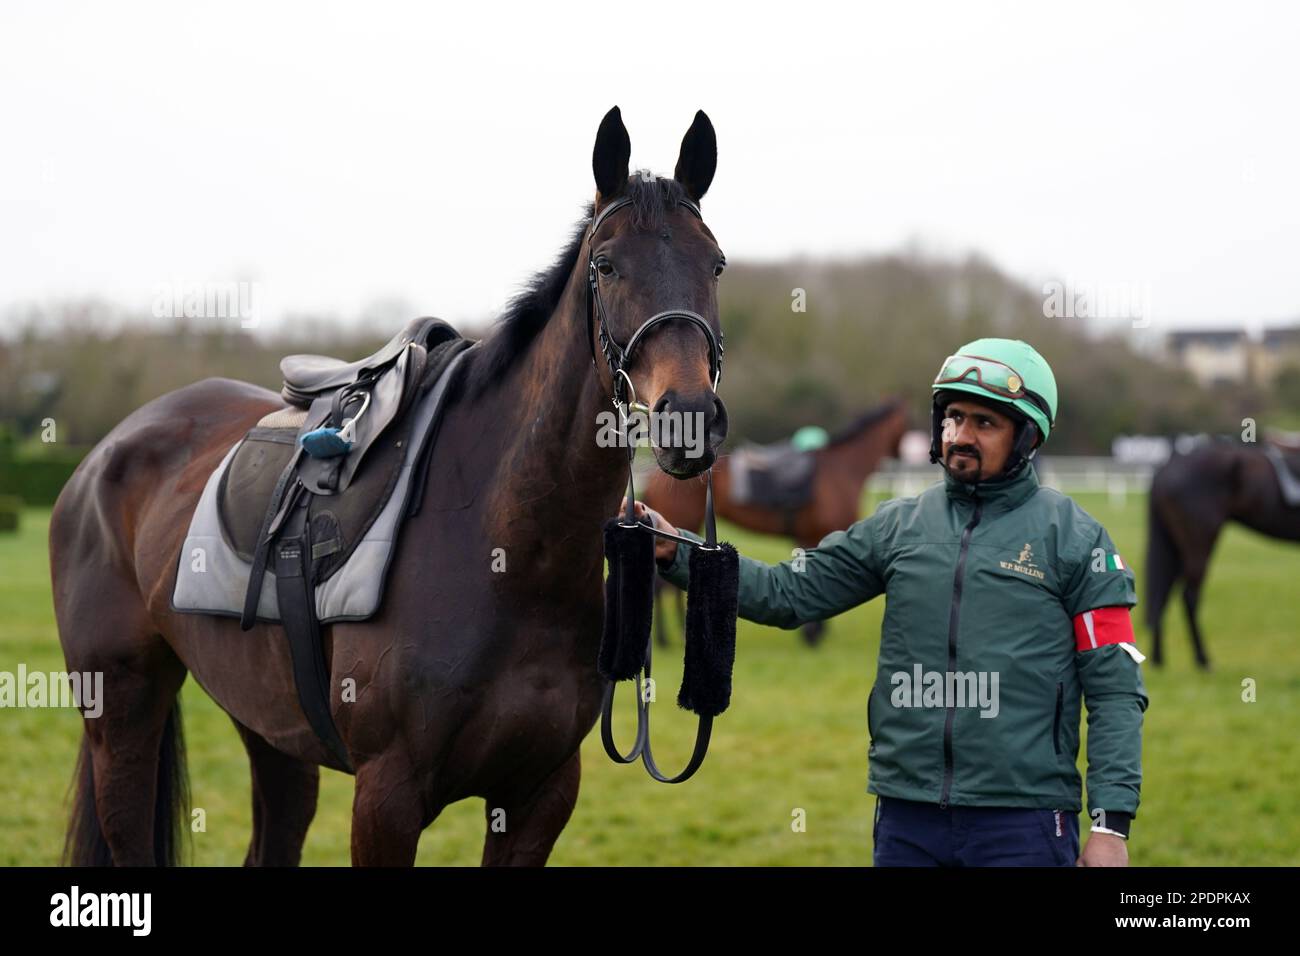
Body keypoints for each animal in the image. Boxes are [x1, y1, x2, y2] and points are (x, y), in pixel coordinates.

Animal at [50, 106, 733, 868]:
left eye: (715, 264)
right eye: (607, 265)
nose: (688, 418)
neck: (510, 551)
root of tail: (106, 454)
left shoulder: (540, 794)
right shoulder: (388, 796)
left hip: (268, 724)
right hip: (122, 709)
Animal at [639, 400, 904, 647]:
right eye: (907, 424)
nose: (902, 455)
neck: (841, 470)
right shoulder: (817, 533)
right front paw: (813, 635)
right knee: (662, 586)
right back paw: (665, 638)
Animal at [1149, 439, 1300, 671]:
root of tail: (1168, 465)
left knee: (1162, 593)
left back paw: (1159, 659)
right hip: (1200, 541)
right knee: (1189, 597)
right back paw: (1203, 659)